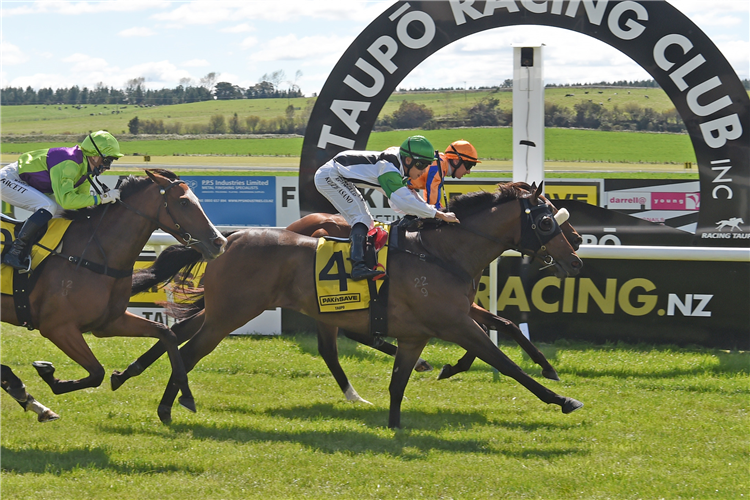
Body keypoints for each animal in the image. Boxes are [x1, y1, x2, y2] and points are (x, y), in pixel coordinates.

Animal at [0, 168, 226, 410]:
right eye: (183, 202)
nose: (219, 242)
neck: (94, 255)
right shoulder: (57, 327)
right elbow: (97, 373)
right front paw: (46, 375)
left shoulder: (108, 322)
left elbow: (167, 333)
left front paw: (182, 395)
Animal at [131, 182, 588, 428]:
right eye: (547, 219)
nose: (576, 255)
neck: (442, 254)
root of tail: (232, 236)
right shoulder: (456, 324)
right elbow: (505, 363)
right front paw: (561, 398)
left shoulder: (422, 331)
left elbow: (400, 381)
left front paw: (396, 422)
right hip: (232, 313)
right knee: (191, 349)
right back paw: (168, 405)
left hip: (230, 309)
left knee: (184, 334)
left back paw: (132, 377)